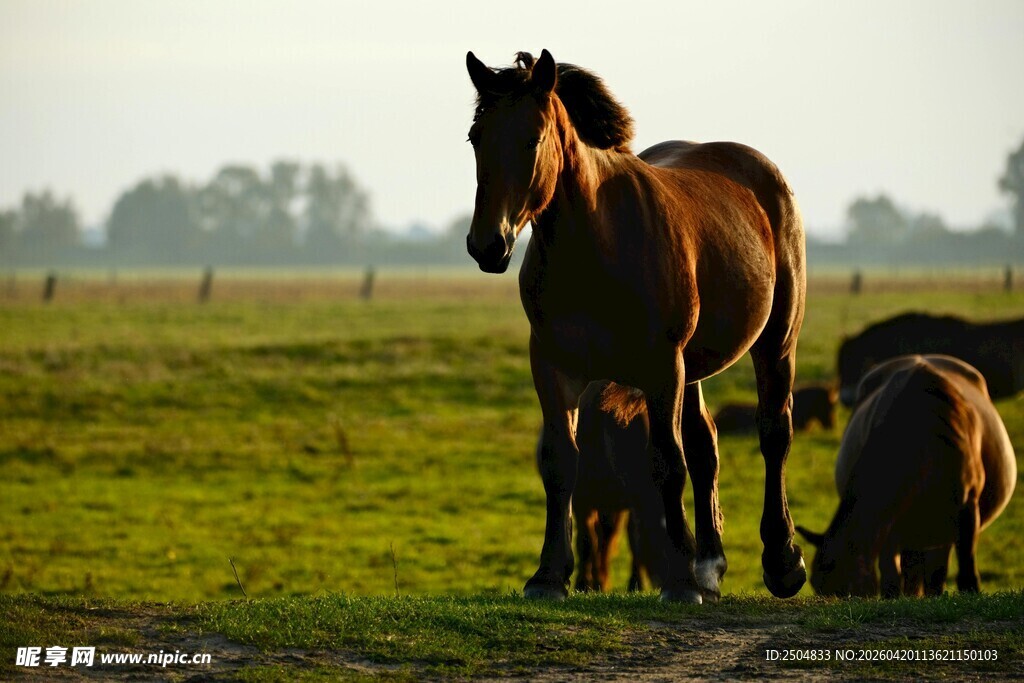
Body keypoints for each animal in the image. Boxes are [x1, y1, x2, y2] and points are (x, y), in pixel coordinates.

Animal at [567, 381, 667, 592]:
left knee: (608, 539)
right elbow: (586, 541)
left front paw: (635, 585)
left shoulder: (630, 502)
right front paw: (583, 585)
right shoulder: (582, 498)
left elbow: (630, 540)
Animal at [796, 355, 1016, 597]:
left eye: (849, 589)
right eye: (817, 586)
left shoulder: (967, 507)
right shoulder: (891, 525)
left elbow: (966, 569)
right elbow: (891, 575)